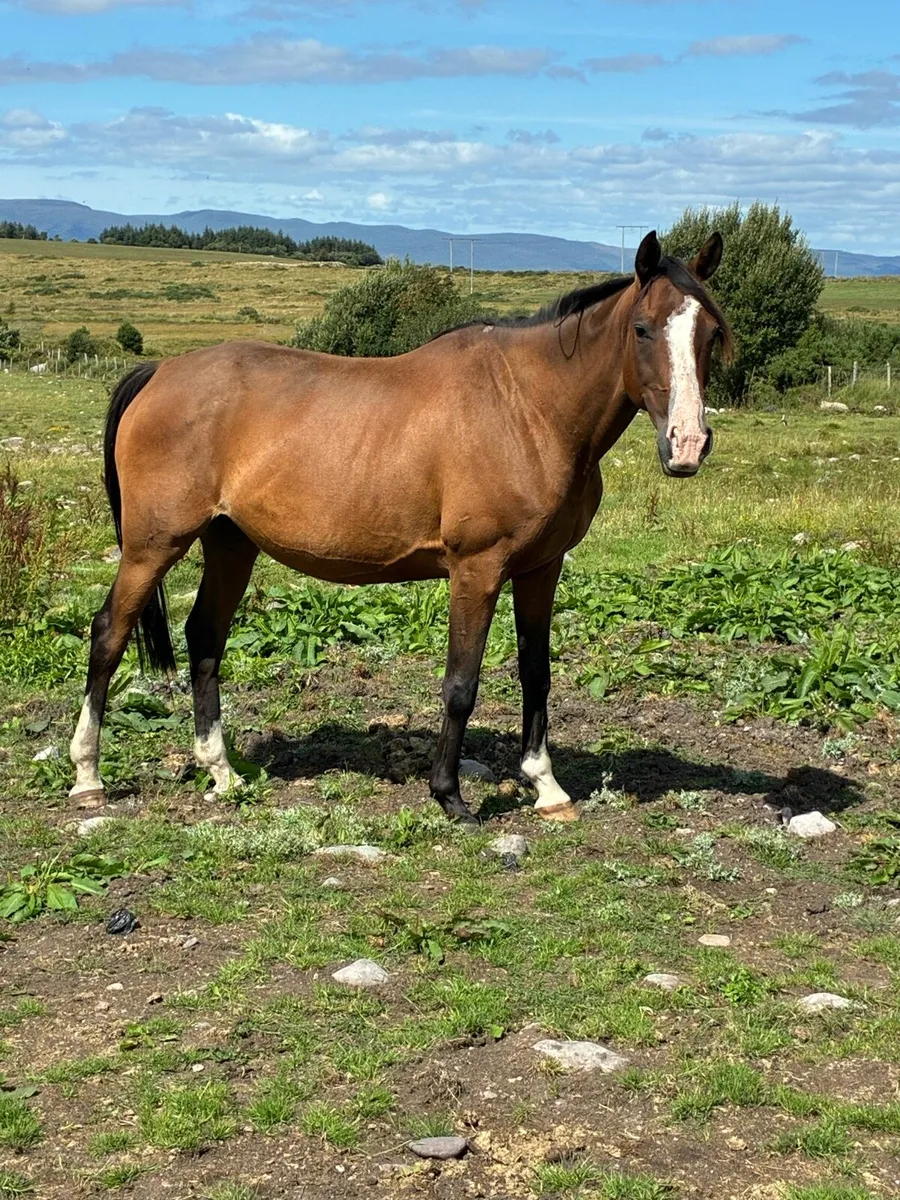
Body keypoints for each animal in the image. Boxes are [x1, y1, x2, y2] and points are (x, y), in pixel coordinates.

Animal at [69, 230, 731, 825]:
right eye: (642, 329)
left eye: (709, 332)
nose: (687, 444)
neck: (528, 407)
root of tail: (159, 372)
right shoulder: (476, 568)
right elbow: (461, 683)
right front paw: (450, 796)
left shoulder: (541, 568)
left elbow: (536, 673)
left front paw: (546, 787)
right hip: (153, 545)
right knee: (108, 635)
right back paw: (88, 777)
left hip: (230, 543)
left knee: (205, 637)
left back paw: (221, 772)